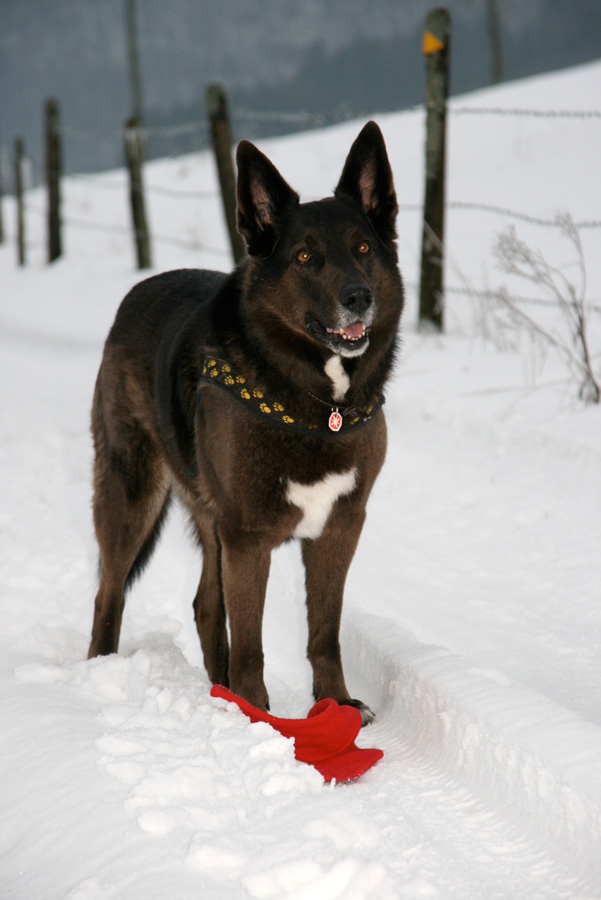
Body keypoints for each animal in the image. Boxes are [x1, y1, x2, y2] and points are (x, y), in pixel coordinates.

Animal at [88, 121, 404, 724]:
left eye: (362, 249)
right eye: (304, 257)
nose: (359, 298)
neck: (316, 402)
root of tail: (136, 291)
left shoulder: (338, 528)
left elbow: (323, 634)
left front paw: (336, 705)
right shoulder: (248, 536)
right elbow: (252, 644)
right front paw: (262, 718)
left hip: (211, 521)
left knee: (206, 606)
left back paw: (221, 693)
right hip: (133, 495)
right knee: (109, 592)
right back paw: (99, 673)